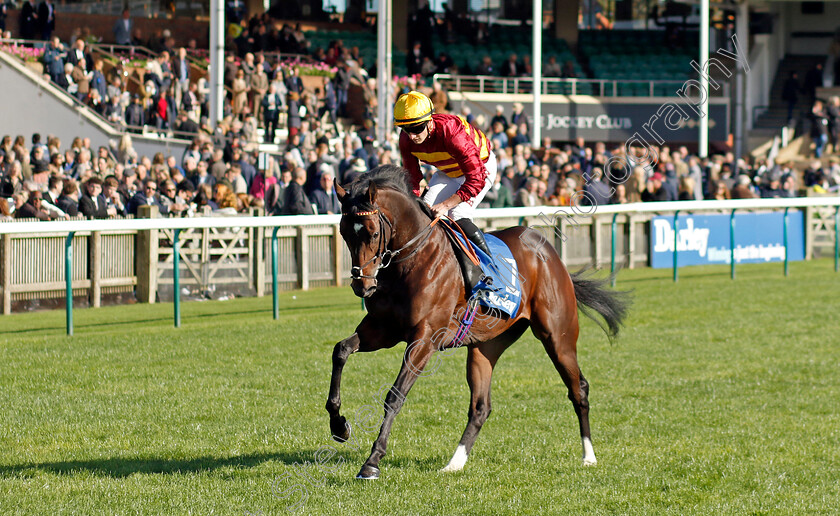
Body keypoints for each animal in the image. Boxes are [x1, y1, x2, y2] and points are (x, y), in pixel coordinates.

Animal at [324, 166, 628, 480]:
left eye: (373, 233)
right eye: (344, 233)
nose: (361, 285)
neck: (411, 261)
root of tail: (549, 253)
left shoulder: (424, 339)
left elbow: (395, 395)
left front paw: (372, 461)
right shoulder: (382, 329)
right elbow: (340, 351)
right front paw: (339, 426)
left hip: (558, 337)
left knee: (579, 388)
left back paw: (589, 456)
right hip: (486, 347)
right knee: (481, 406)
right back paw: (454, 463)